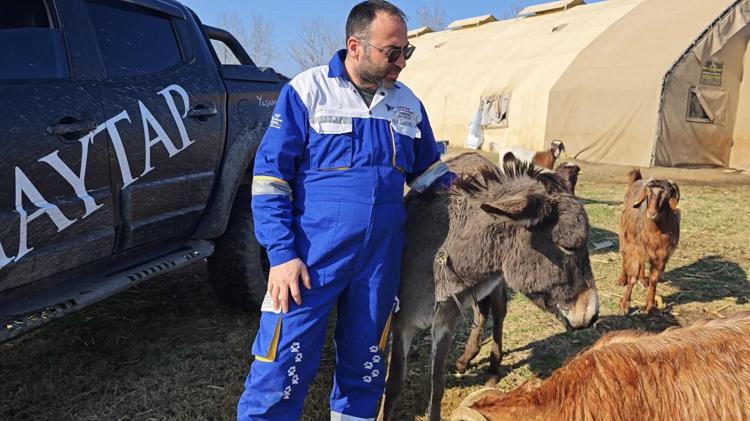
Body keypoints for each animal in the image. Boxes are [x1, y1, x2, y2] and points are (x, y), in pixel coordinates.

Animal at [616, 169, 680, 314]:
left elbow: (654, 278)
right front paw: (624, 305)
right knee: (624, 257)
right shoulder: (635, 247)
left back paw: (642, 279)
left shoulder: (662, 254)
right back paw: (622, 279)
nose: (651, 213)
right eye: (648, 193)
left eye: (667, 195)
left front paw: (650, 305)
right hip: (625, 236)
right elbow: (632, 275)